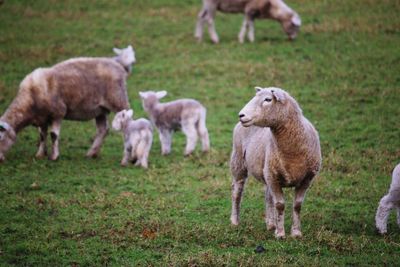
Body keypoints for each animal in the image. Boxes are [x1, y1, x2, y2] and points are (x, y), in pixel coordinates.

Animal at [0, 45, 136, 162]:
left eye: (1, 138)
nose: (0, 159)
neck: (30, 99)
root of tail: (117, 63)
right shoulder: (42, 117)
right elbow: (42, 135)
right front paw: (40, 154)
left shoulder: (58, 112)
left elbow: (53, 135)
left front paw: (54, 156)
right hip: (100, 109)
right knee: (103, 130)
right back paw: (91, 153)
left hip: (118, 100)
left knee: (128, 124)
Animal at [230, 86, 320, 239]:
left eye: (268, 99)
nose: (241, 115)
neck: (292, 153)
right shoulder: (274, 177)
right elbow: (280, 205)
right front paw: (280, 234)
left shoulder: (307, 178)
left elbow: (297, 205)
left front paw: (296, 233)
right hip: (239, 162)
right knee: (237, 192)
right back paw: (235, 221)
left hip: (267, 171)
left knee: (268, 197)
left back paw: (271, 224)